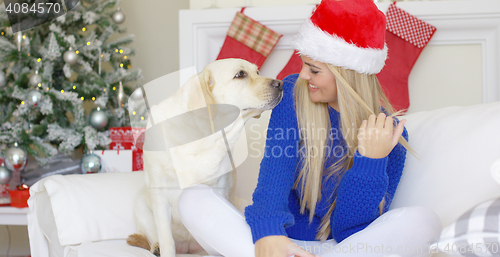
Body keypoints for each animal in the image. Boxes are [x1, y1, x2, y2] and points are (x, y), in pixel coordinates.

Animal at [127, 59, 284, 255]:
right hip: (141, 203)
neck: (204, 135)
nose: (281, 83)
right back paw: (155, 247)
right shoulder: (159, 193)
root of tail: (187, 248)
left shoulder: (219, 190)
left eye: (257, 71)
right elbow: (167, 240)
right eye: (240, 74)